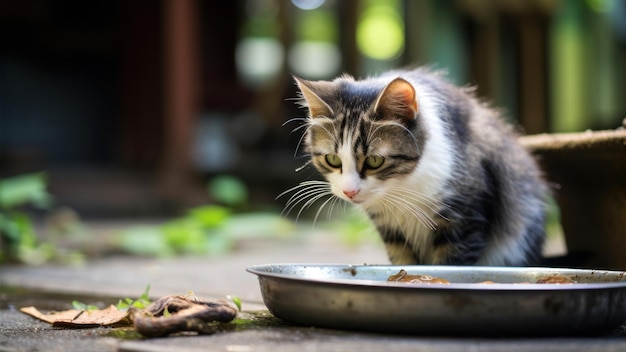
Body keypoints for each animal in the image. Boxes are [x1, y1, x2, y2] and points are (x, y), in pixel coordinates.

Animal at [282, 68, 544, 266]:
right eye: (333, 160)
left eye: (374, 161)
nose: (349, 192)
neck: (401, 187)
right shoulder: (391, 231)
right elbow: (404, 261)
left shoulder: (463, 217)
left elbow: (450, 264)